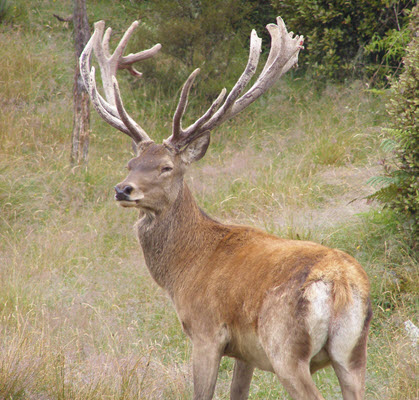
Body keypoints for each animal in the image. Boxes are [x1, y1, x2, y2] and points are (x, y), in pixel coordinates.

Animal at [80, 16, 372, 400]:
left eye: (166, 167)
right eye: (131, 163)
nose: (122, 190)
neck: (185, 268)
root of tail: (340, 284)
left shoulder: (205, 331)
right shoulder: (245, 353)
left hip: (286, 349)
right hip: (352, 354)